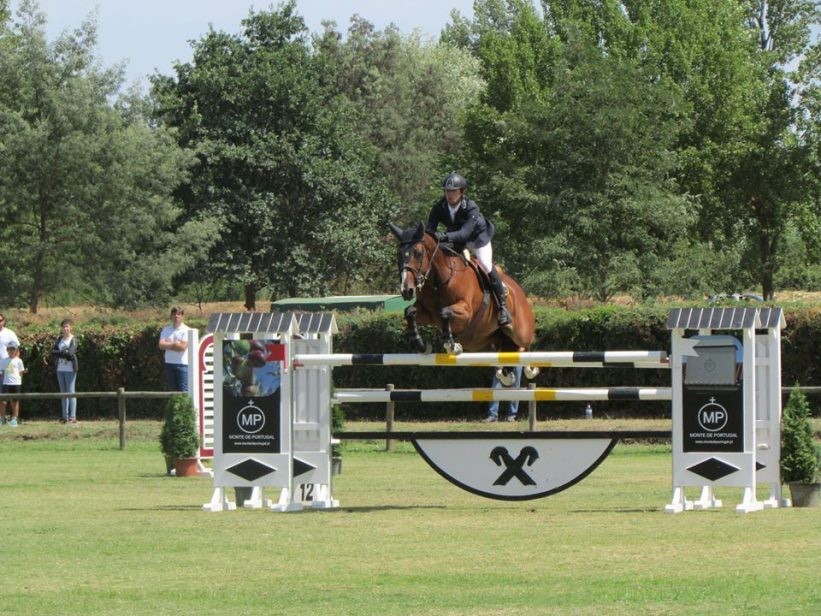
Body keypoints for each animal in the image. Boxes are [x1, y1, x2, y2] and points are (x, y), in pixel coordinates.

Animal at [390, 221, 540, 384]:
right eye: (398, 254)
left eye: (418, 253)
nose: (407, 290)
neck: (439, 281)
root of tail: (520, 292)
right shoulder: (428, 314)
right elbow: (410, 312)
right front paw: (422, 345)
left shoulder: (466, 312)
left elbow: (445, 312)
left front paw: (452, 345)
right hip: (487, 339)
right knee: (508, 351)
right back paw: (506, 373)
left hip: (521, 332)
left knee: (525, 345)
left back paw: (529, 368)